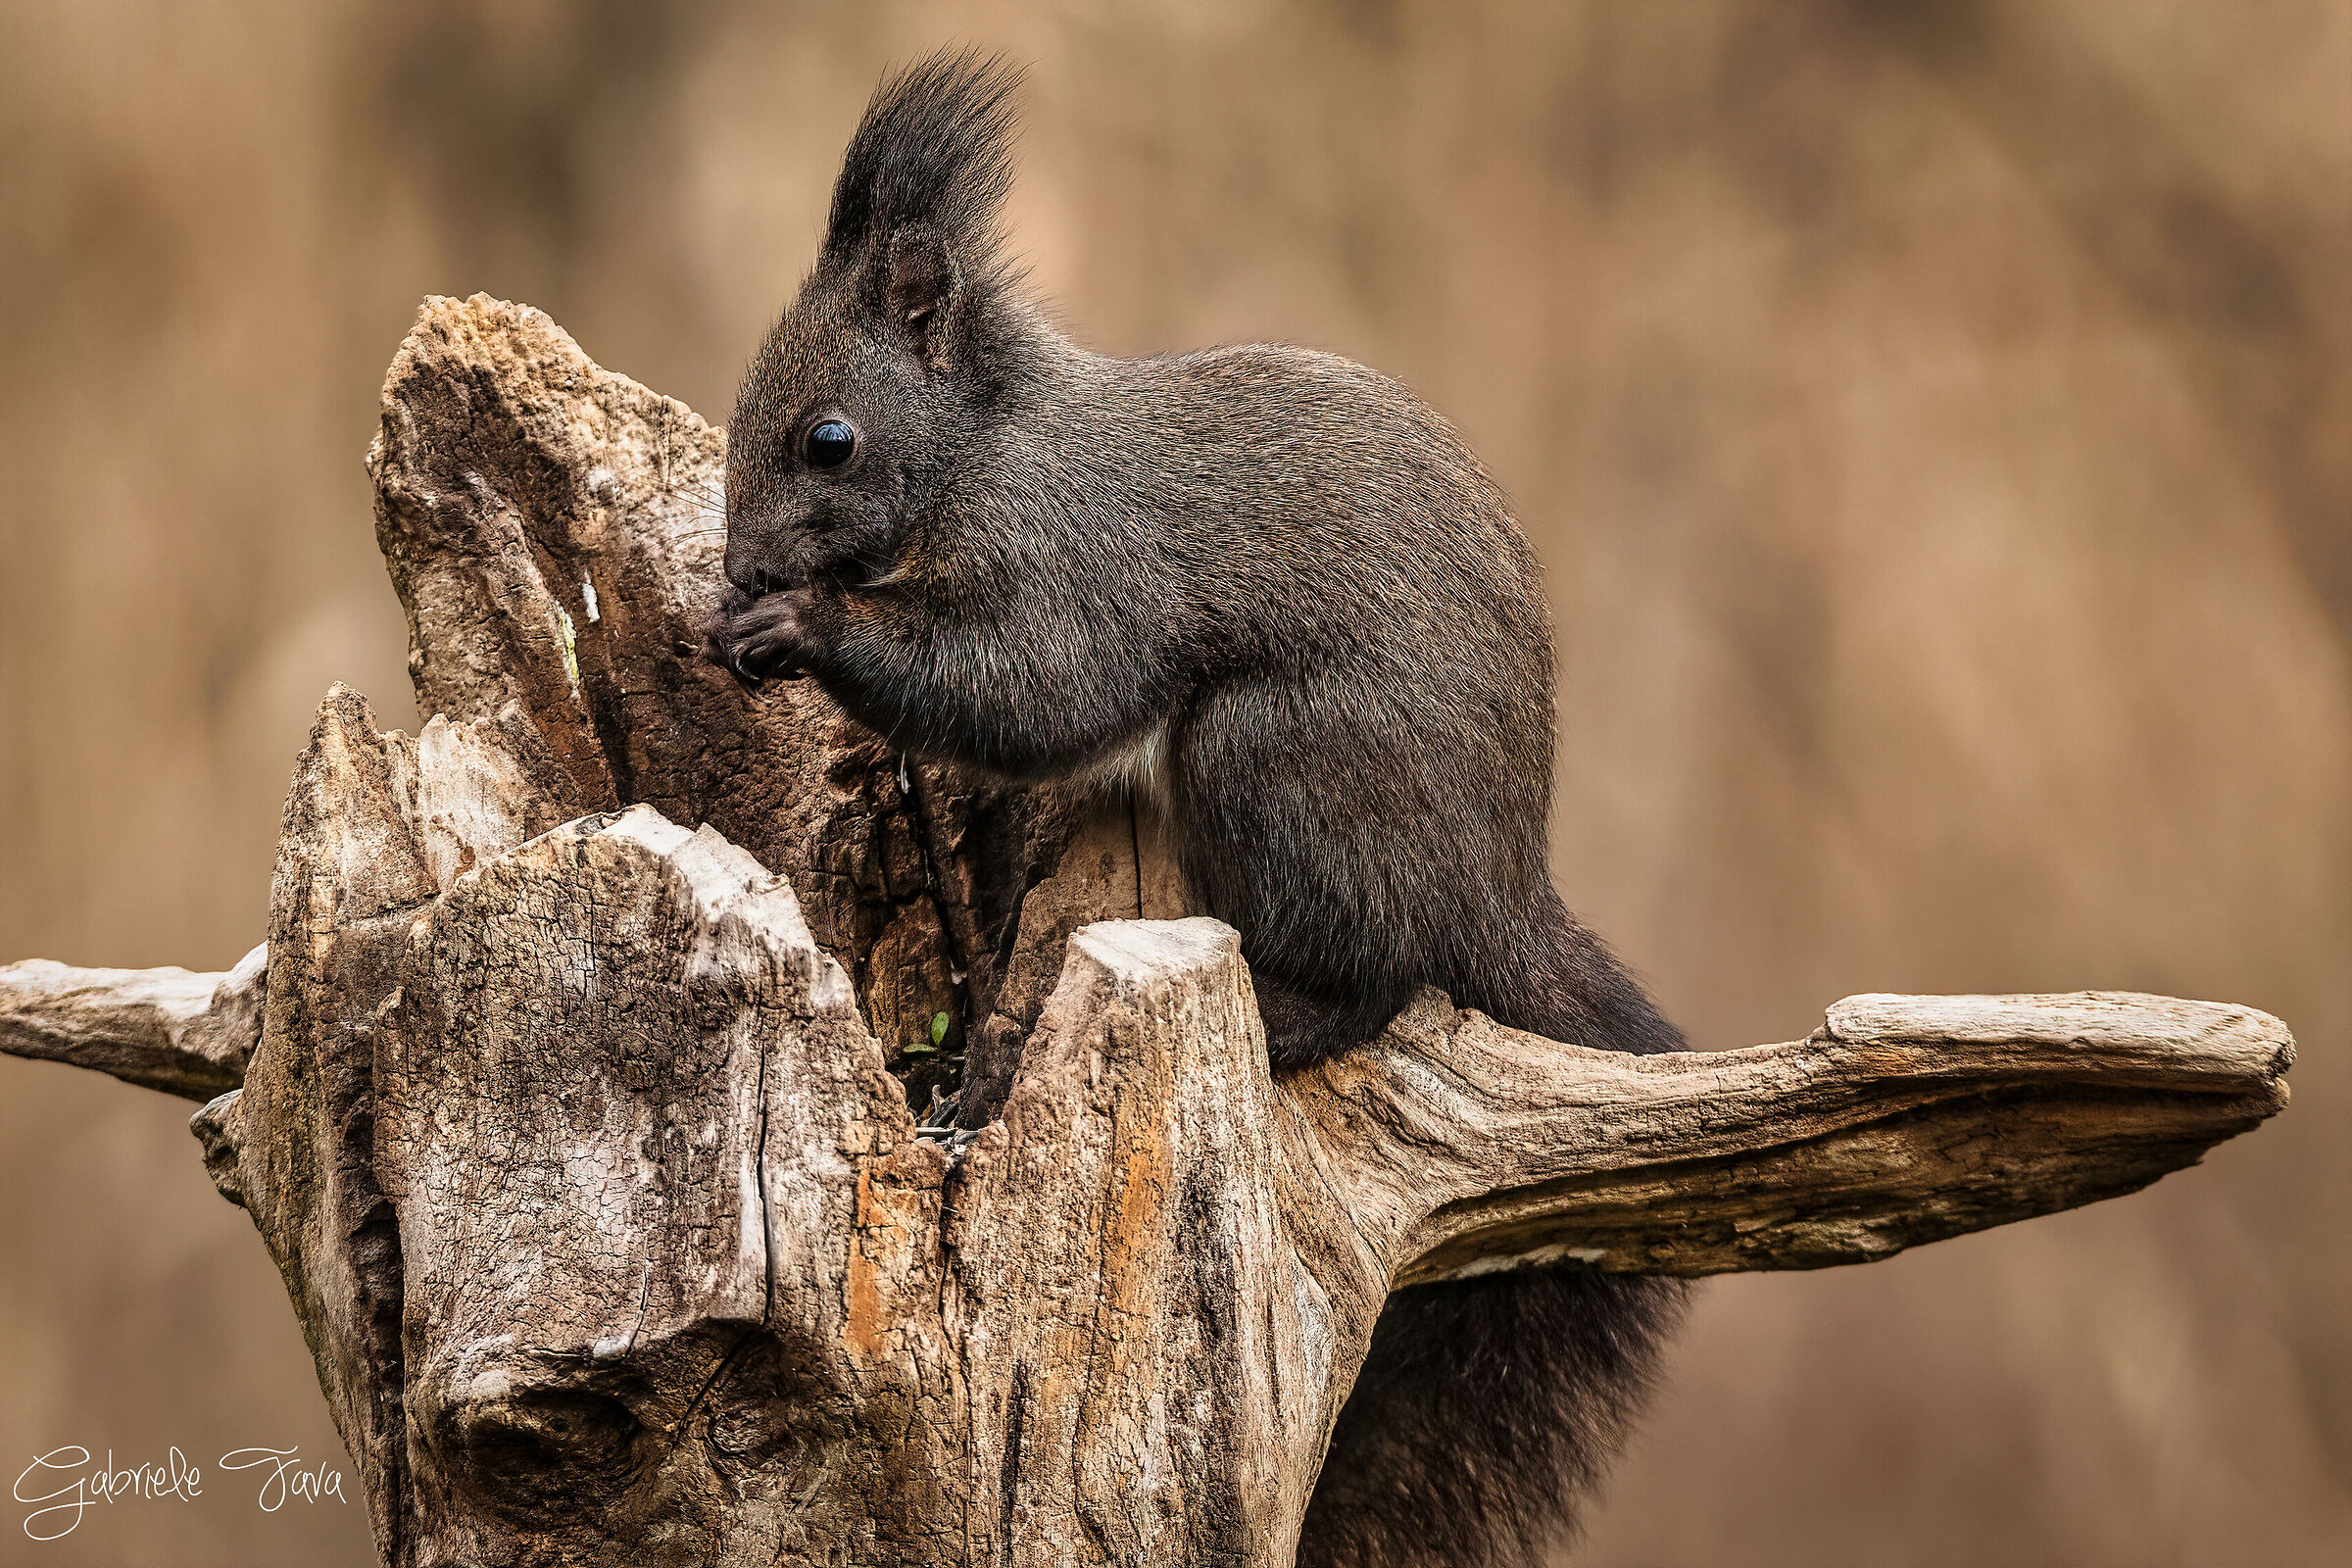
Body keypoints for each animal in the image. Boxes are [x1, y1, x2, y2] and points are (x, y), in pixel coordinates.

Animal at [705, 52, 1687, 1568]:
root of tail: (1499, 888)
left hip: (1277, 763)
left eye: (830, 439)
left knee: (1379, 979)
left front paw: (799, 627)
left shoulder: (1075, 564)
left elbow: (1035, 685)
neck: (985, 453)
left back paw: (1288, 1012)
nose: (742, 561)